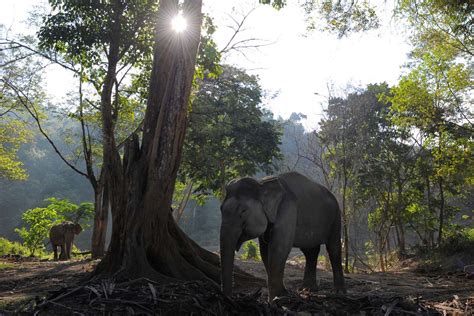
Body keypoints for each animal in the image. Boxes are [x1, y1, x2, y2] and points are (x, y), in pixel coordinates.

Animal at [220, 172, 346, 300]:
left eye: (243, 211)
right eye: (221, 209)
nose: (230, 297)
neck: (261, 183)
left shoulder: (287, 209)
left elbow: (278, 247)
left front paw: (276, 298)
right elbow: (265, 251)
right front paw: (282, 294)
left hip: (335, 218)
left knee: (334, 249)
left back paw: (339, 292)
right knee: (310, 252)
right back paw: (307, 289)